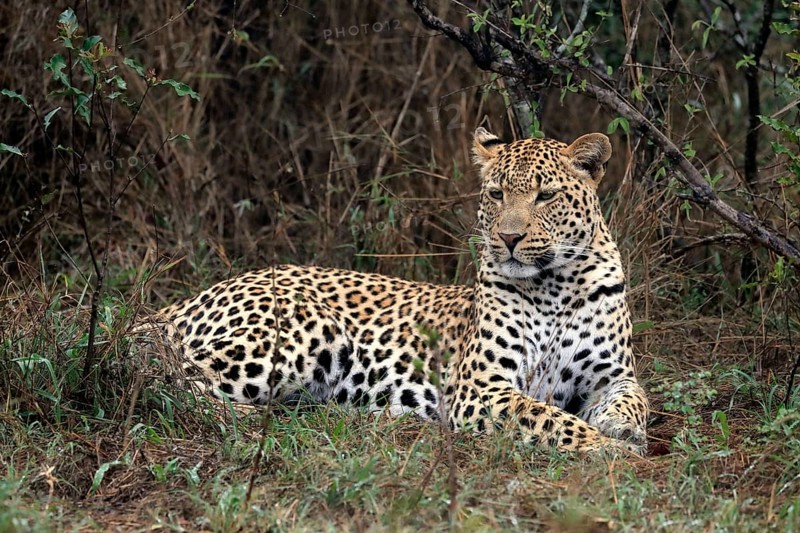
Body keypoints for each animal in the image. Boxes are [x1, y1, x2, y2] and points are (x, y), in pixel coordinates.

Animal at [149, 128, 649, 453]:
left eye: (546, 196)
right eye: (496, 194)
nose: (508, 238)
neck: (554, 286)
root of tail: (190, 298)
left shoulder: (612, 375)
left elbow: (633, 401)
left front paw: (624, 431)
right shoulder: (481, 387)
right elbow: (547, 417)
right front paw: (604, 446)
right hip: (303, 329)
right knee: (176, 380)